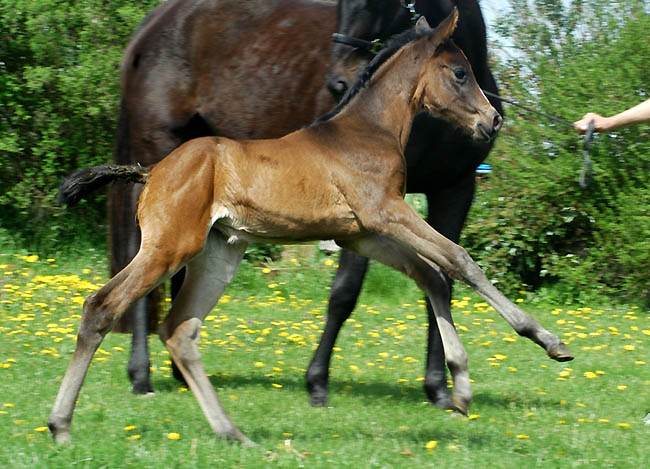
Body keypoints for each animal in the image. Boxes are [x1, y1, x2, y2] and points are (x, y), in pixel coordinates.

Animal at [48, 9, 568, 444]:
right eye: (460, 73)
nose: (493, 120)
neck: (367, 130)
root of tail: (152, 171)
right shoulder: (387, 212)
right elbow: (460, 263)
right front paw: (548, 341)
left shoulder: (361, 232)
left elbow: (433, 277)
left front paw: (458, 388)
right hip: (168, 247)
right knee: (102, 307)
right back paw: (62, 425)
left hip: (218, 254)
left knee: (180, 330)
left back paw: (232, 433)